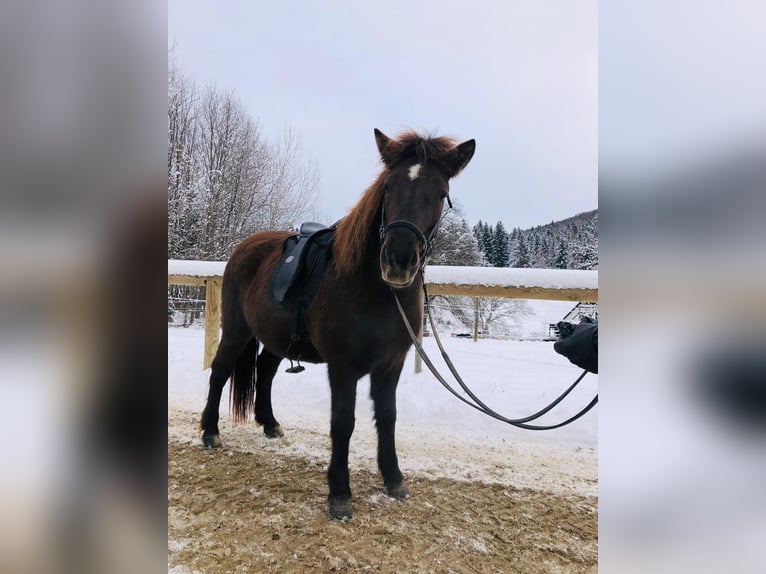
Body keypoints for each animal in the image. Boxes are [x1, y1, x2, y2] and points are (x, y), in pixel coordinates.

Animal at [200, 128, 474, 520]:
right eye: (387, 187)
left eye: (441, 193)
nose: (398, 260)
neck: (376, 293)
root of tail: (244, 247)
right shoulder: (343, 367)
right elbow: (343, 423)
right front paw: (340, 494)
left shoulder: (391, 365)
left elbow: (387, 417)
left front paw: (394, 479)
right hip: (237, 331)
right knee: (220, 372)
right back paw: (210, 432)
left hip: (275, 339)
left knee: (264, 371)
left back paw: (270, 424)